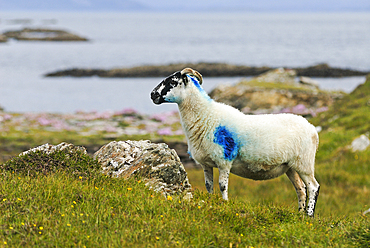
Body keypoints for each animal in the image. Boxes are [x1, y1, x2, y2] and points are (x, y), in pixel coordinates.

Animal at [150, 68, 320, 217]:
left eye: (173, 81)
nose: (152, 95)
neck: (206, 115)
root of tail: (313, 129)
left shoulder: (224, 160)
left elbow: (222, 185)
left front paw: (225, 204)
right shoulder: (205, 163)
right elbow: (208, 185)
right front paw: (210, 201)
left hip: (304, 163)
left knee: (313, 187)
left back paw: (309, 215)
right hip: (290, 166)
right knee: (301, 189)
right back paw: (300, 214)